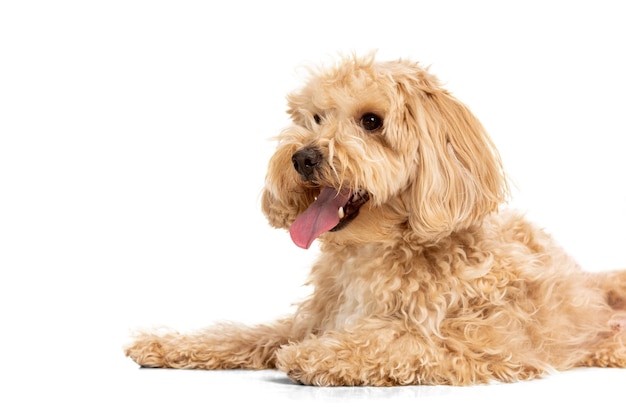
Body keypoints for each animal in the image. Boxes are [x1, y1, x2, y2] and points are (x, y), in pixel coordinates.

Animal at [123, 54, 624, 386]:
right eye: (315, 117)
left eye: (371, 121)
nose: (303, 157)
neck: (375, 251)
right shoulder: (311, 319)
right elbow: (242, 333)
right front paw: (169, 344)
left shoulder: (481, 344)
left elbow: (400, 343)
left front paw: (317, 357)